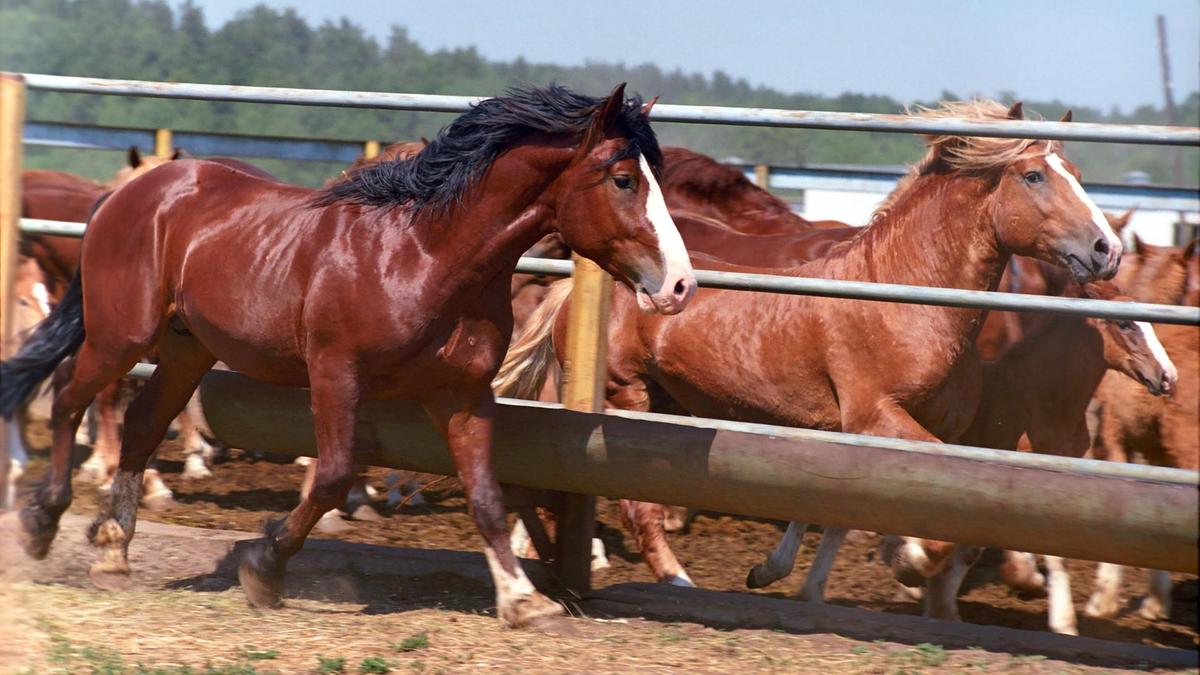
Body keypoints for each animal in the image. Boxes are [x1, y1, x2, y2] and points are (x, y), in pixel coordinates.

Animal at [2, 84, 696, 624]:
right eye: (624, 178)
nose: (680, 286)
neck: (423, 257)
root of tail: (131, 190)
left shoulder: (464, 394)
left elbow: (486, 497)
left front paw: (525, 602)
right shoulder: (336, 372)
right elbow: (333, 475)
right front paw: (264, 567)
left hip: (184, 350)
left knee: (143, 423)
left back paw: (112, 551)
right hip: (119, 336)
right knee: (68, 398)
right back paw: (42, 522)